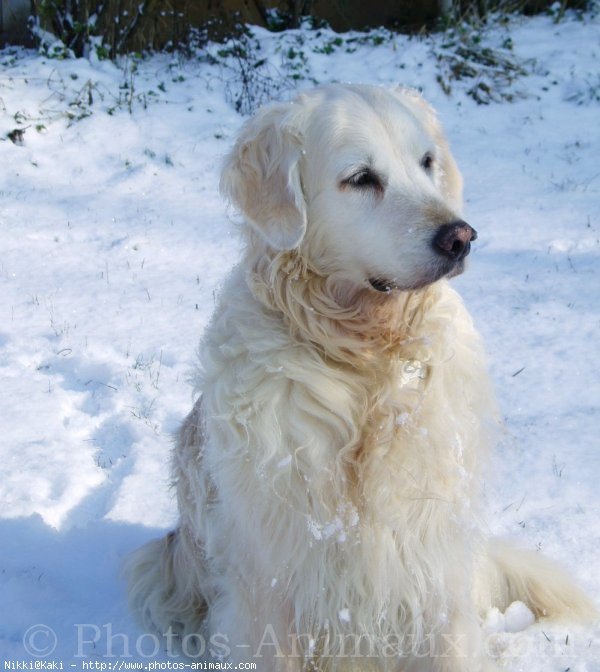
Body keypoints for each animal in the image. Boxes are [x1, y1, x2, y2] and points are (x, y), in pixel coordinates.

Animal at [123, 86, 596, 668]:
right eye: (361, 178)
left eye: (427, 162)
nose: (460, 237)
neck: (365, 358)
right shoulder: (271, 581)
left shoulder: (435, 563)